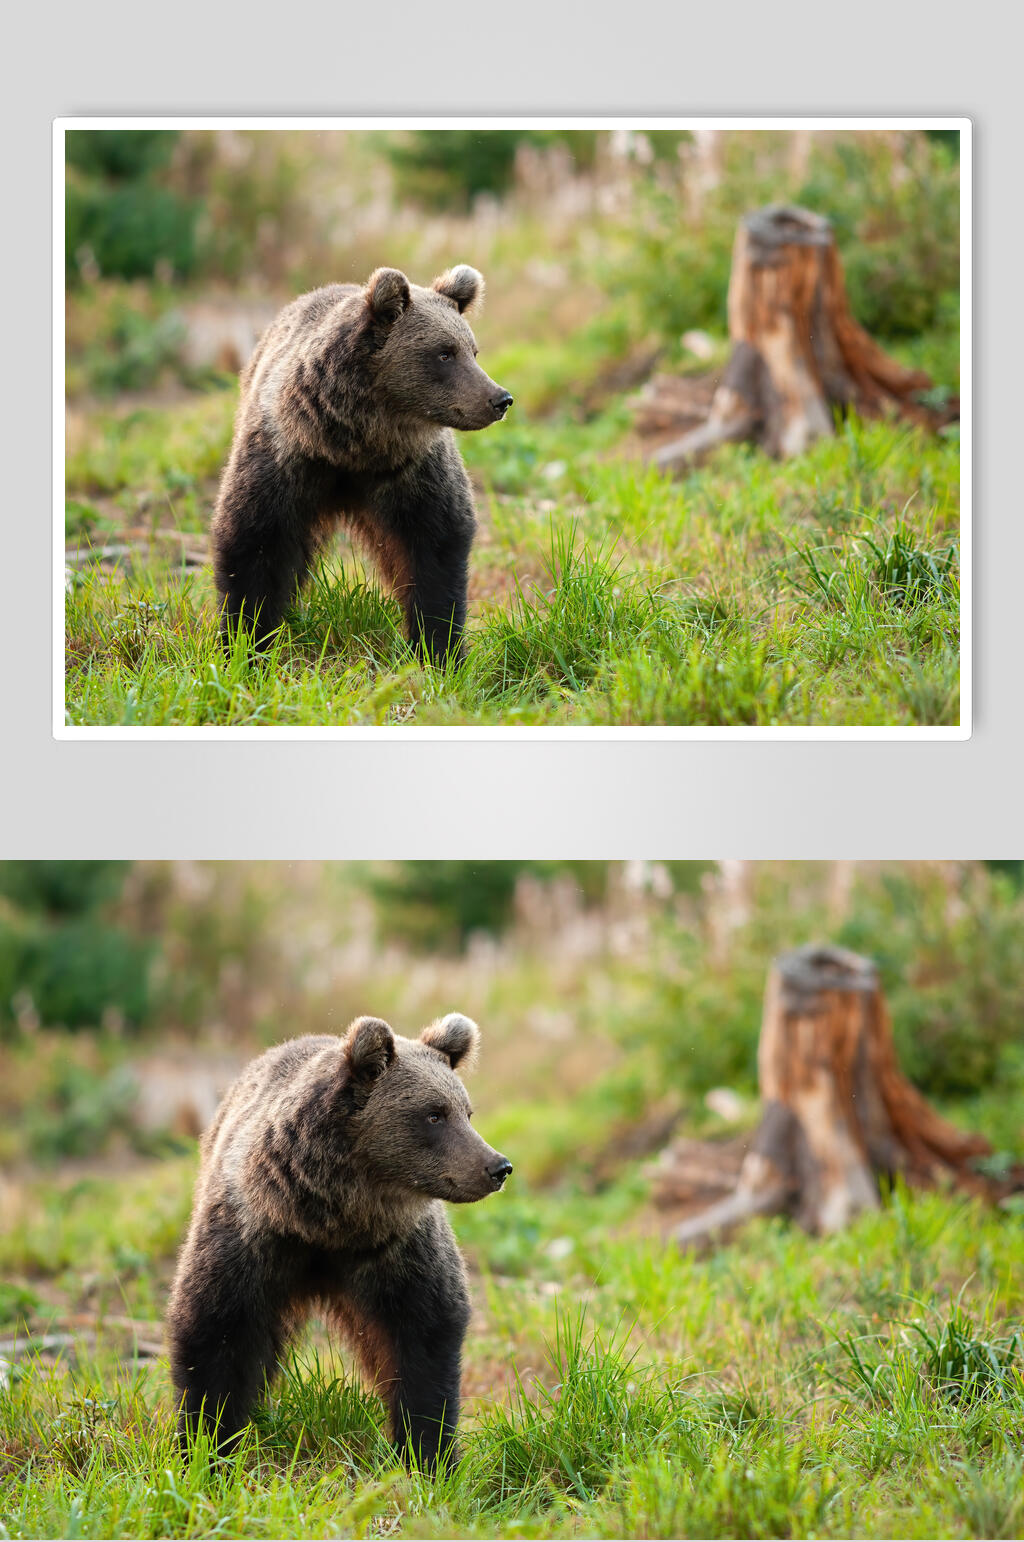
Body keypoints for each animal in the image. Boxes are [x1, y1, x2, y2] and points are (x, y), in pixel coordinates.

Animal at [166, 1012, 511, 1471]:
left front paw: (427, 1453)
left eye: (466, 1112)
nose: (497, 1166)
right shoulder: (251, 1237)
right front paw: (206, 1447)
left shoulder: (399, 1252)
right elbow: (216, 1332)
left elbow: (425, 1340)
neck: (330, 1222)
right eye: (434, 1114)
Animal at [209, 265, 513, 665]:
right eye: (445, 353)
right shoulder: (284, 459)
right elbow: (254, 542)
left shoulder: (414, 473)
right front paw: (247, 644)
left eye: (472, 350)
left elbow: (436, 550)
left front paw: (439, 649)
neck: (353, 446)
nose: (500, 398)